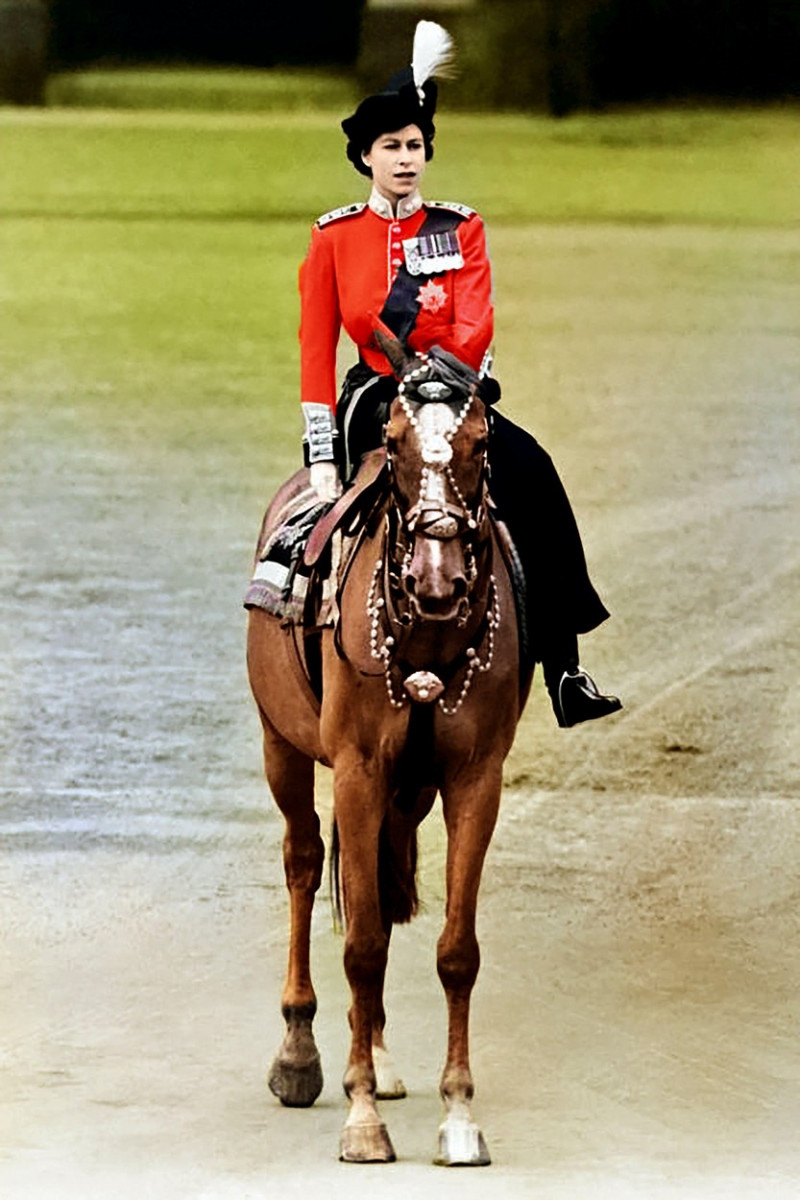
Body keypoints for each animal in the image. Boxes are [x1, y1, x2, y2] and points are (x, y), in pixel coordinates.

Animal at [244, 343, 532, 1166]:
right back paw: (302, 1056)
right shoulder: (358, 770)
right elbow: (364, 945)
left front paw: (459, 1116)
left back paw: (374, 1053)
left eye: (481, 446)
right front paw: (362, 1117)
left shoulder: (475, 779)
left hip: (407, 792)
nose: (437, 581)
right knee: (305, 862)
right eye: (395, 444)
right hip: (283, 747)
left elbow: (455, 949)